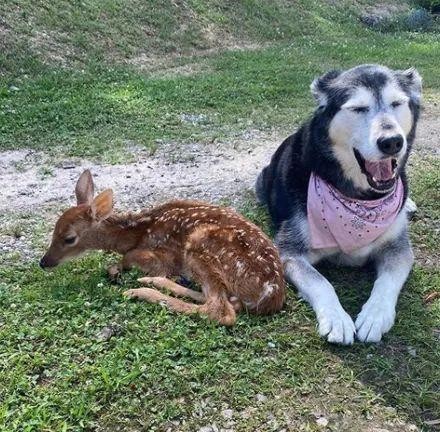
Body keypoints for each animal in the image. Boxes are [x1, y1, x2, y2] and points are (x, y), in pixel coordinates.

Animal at [256, 65, 422, 344]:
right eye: (358, 109)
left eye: (397, 103)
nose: (392, 142)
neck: (361, 199)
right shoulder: (288, 252)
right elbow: (320, 282)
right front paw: (336, 319)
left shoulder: (399, 249)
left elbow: (387, 281)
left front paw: (375, 315)